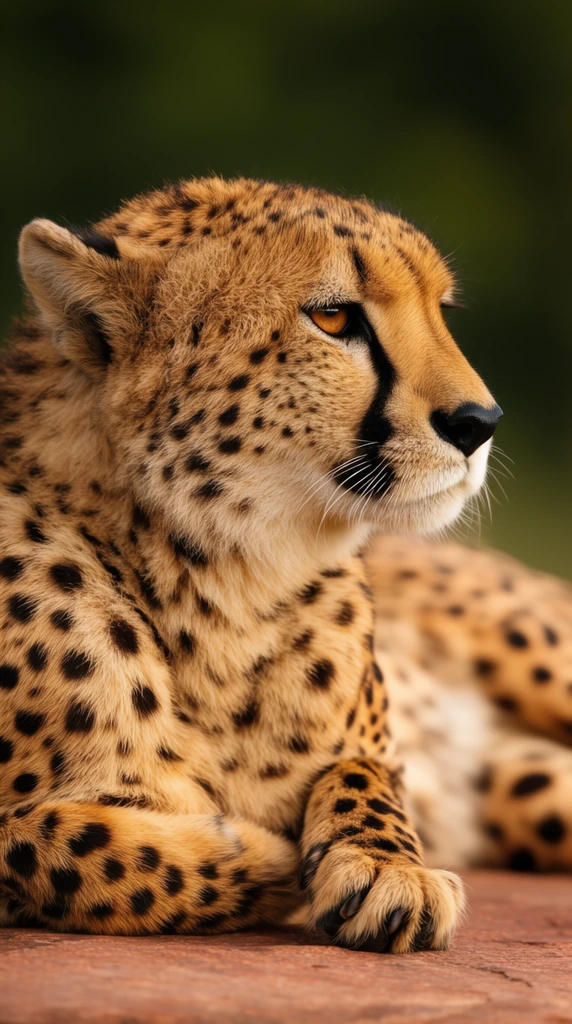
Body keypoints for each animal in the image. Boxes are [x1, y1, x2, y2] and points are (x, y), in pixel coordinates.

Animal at [0, 175, 568, 955]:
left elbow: (367, 773)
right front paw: (258, 853)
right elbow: (73, 849)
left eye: (440, 312)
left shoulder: (375, 744)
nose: (479, 423)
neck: (224, 581)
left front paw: (387, 868)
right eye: (333, 317)